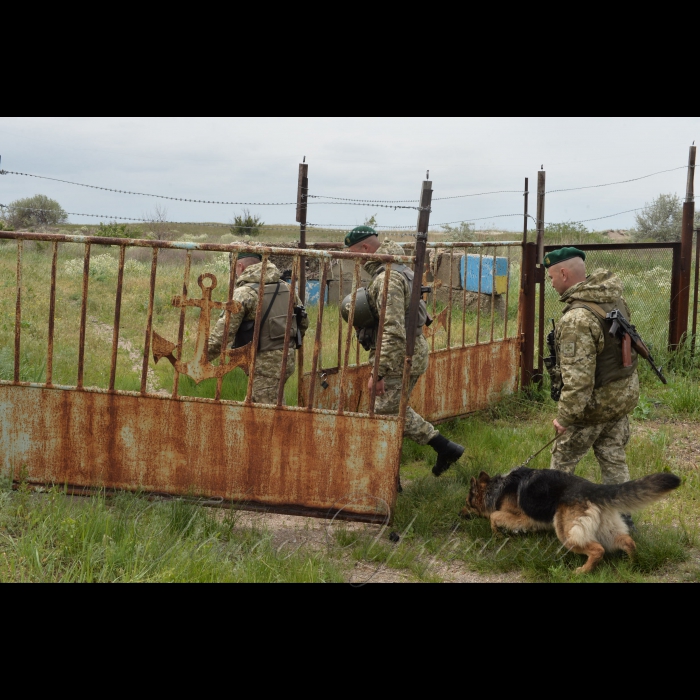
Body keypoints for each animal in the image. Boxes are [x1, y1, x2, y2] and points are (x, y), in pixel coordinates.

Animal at [462, 470, 680, 576]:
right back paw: (632, 564)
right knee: (628, 542)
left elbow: (494, 516)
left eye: (466, 503)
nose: (459, 513)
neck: (496, 488)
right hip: (606, 530)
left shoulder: (520, 517)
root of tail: (594, 488)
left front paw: (497, 534)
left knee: (597, 549)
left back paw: (583, 571)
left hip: (567, 534)